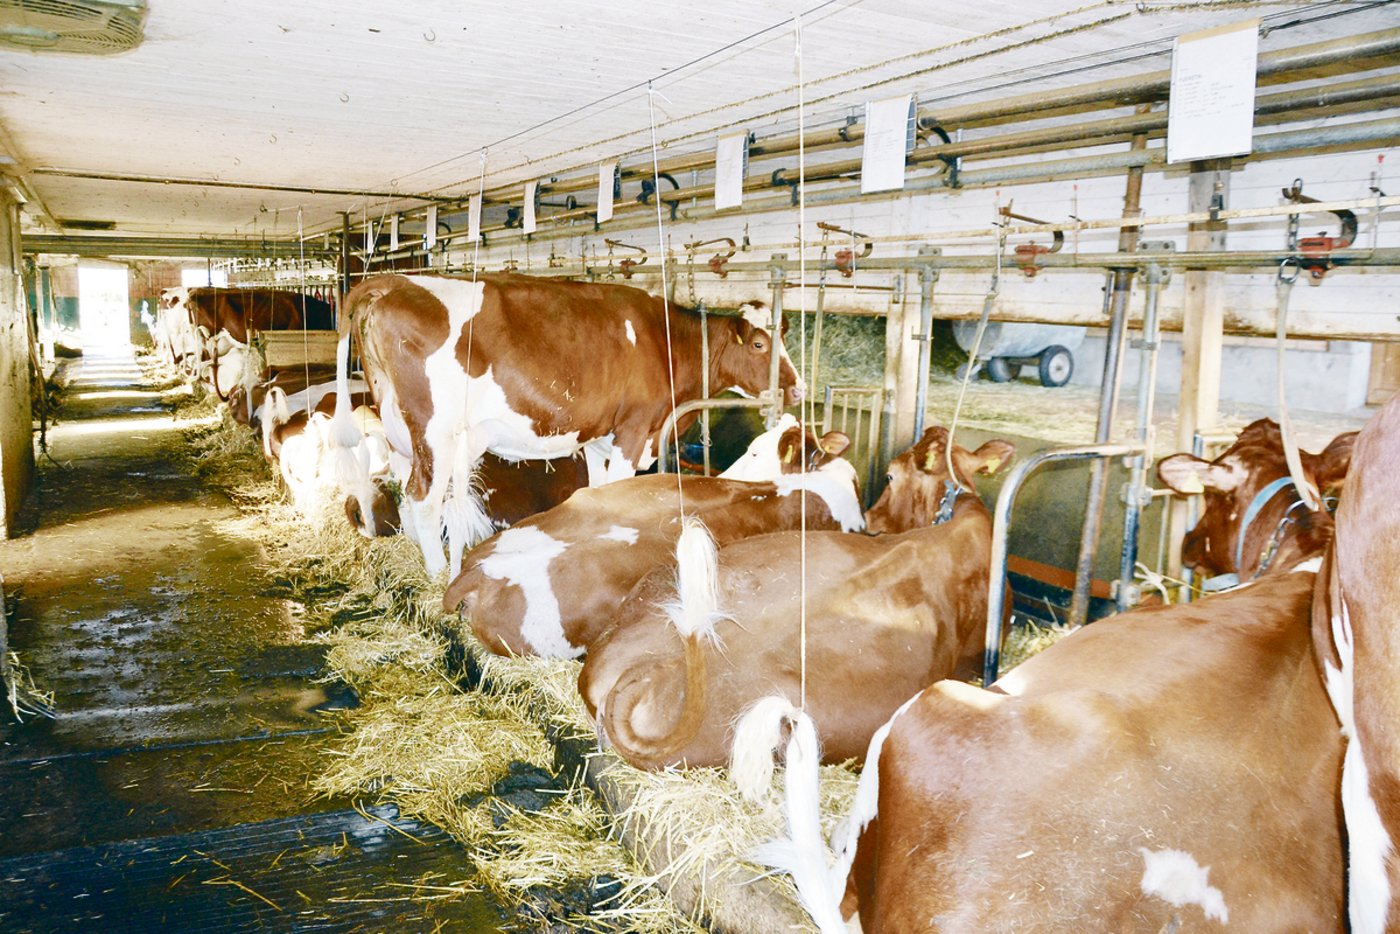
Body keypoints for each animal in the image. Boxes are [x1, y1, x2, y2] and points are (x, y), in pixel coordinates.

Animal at [329, 273, 804, 576]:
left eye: (784, 337)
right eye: (758, 344)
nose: (798, 390)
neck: (665, 340)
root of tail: (397, 281)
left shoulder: (597, 438)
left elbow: (595, 493)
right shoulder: (634, 430)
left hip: (401, 430)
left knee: (403, 489)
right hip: (436, 432)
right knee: (423, 499)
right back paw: (434, 573)